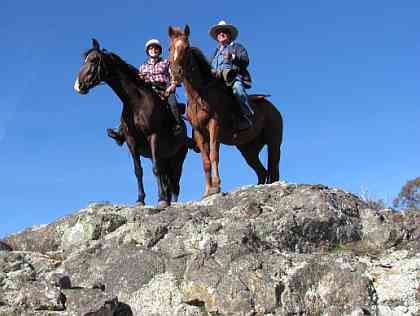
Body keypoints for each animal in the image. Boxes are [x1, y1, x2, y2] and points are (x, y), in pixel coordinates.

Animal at [74, 39, 188, 207]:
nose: (78, 86)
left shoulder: (153, 136)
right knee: (167, 179)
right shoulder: (131, 141)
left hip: (178, 158)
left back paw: (171, 201)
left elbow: (155, 169)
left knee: (174, 182)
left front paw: (161, 200)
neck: (135, 102)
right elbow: (138, 170)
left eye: (94, 60)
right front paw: (140, 199)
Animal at [167, 25, 282, 198]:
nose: (176, 72)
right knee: (262, 172)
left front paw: (217, 186)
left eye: (186, 48)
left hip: (274, 143)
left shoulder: (214, 125)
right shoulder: (199, 133)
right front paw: (207, 190)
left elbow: (214, 155)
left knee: (273, 168)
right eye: (169, 48)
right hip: (248, 150)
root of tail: (274, 109)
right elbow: (206, 161)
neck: (199, 95)